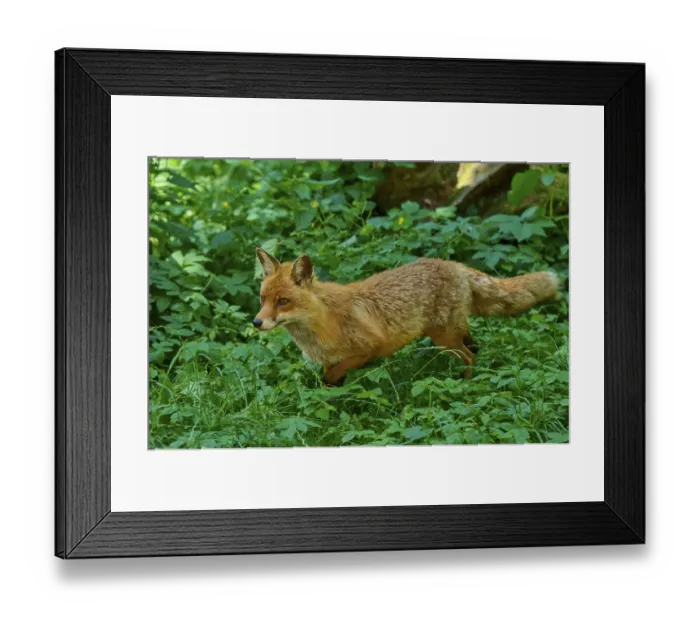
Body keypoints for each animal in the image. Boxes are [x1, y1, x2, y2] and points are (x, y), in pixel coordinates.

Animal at [253, 248, 561, 386]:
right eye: (263, 298)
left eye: (283, 301)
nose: (256, 323)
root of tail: (453, 265)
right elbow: (329, 380)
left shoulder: (368, 349)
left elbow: (332, 374)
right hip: (452, 332)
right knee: (475, 346)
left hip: (443, 338)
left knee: (469, 356)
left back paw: (464, 384)